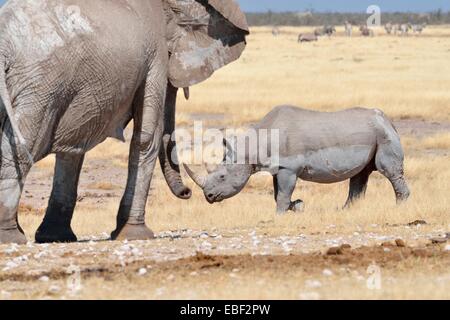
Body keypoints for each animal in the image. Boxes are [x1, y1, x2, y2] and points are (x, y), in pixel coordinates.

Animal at [0, 0, 248, 244]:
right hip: (40, 86)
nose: (187, 192)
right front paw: (136, 234)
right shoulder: (156, 56)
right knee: (21, 148)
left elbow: (74, 147)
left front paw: (56, 237)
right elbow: (147, 138)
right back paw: (11, 236)